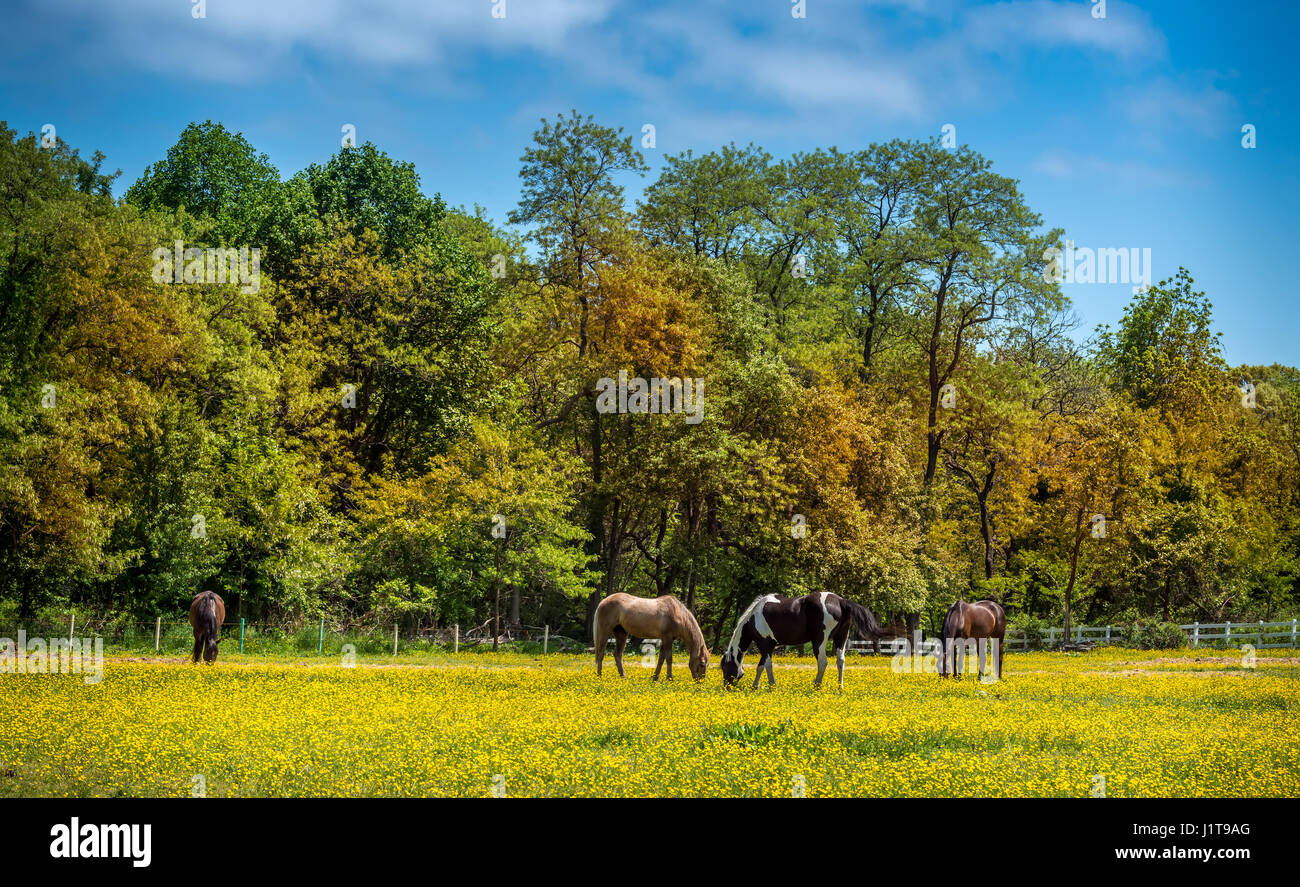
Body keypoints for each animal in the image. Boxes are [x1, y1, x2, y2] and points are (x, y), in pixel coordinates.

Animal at [717, 590, 889, 686]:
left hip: (819, 641)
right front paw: (761, 686)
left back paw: (816, 686)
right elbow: (763, 666)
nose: (727, 686)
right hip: (841, 638)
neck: (753, 618)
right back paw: (840, 687)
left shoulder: (764, 644)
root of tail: (840, 601)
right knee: (840, 661)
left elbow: (764, 666)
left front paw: (764, 686)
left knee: (822, 662)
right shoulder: (770, 646)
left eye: (724, 667)